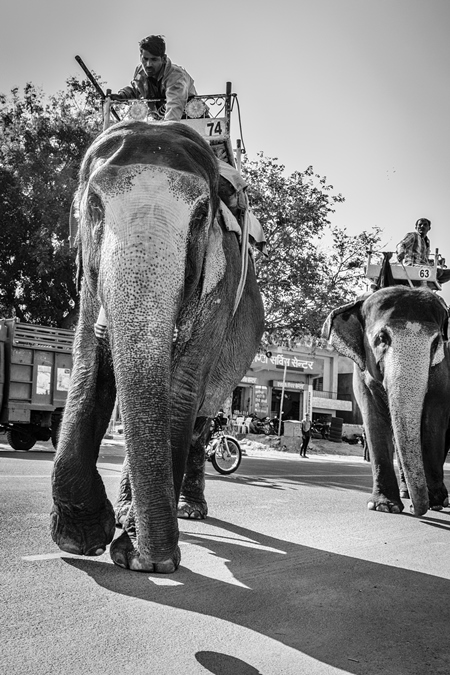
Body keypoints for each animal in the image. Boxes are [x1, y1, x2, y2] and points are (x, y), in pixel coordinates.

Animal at [50, 120, 264, 572]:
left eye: (201, 216)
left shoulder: (220, 286)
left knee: (200, 421)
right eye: (94, 205)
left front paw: (133, 552)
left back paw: (188, 510)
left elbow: (179, 389)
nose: (153, 560)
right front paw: (82, 540)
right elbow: (87, 368)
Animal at [324, 286, 450, 516]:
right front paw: (383, 506)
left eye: (436, 342)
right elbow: (373, 418)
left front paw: (436, 502)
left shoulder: (444, 370)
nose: (417, 509)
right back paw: (405, 493)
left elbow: (433, 422)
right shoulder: (361, 372)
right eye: (382, 338)